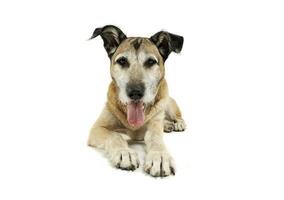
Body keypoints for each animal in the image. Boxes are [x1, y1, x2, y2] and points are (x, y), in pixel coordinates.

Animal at [88, 25, 186, 177]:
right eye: (122, 61)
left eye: (151, 62)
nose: (135, 92)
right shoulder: (97, 128)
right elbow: (115, 135)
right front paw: (124, 153)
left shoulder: (154, 125)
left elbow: (156, 138)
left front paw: (160, 156)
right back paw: (167, 125)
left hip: (168, 103)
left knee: (177, 115)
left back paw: (177, 124)